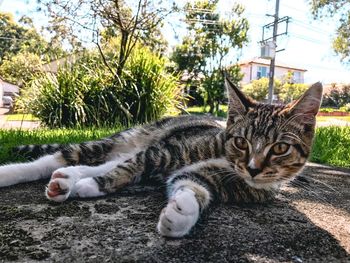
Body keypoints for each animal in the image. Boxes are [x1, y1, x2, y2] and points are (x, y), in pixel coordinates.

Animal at [0, 78, 322, 237]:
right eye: (241, 142)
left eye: (279, 148)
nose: (253, 169)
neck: (226, 160)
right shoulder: (164, 152)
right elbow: (128, 169)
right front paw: (93, 186)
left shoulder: (211, 178)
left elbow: (192, 187)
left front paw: (181, 214)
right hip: (127, 141)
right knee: (61, 159)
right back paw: (19, 174)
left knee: (95, 164)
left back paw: (65, 182)